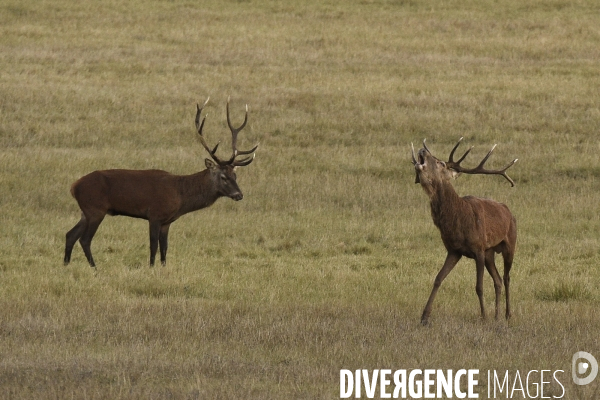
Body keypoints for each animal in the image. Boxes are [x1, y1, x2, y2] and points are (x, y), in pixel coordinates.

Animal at [65, 97, 258, 268]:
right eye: (223, 177)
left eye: (235, 176)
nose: (239, 195)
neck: (180, 195)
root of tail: (74, 186)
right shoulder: (155, 214)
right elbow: (153, 246)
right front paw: (151, 268)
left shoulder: (167, 221)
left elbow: (164, 248)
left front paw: (163, 268)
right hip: (95, 208)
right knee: (84, 239)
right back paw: (94, 268)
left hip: (86, 211)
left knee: (70, 235)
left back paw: (65, 265)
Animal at [412, 138, 516, 324]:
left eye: (440, 163)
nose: (422, 150)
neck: (457, 223)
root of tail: (509, 212)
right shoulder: (454, 250)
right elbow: (438, 279)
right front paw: (424, 317)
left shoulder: (478, 248)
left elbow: (479, 286)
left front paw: (483, 316)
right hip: (490, 252)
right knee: (497, 280)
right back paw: (497, 315)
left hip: (510, 243)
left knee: (506, 278)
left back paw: (507, 314)